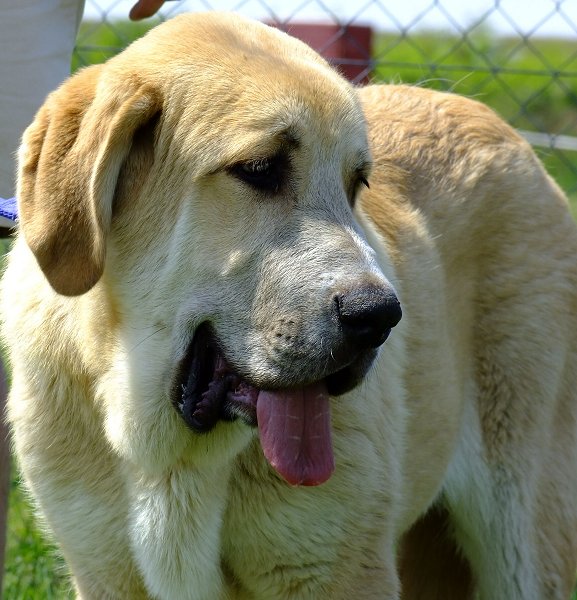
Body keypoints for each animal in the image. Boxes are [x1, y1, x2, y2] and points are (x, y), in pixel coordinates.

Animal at [1, 10, 576, 600]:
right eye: (260, 169)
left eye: (356, 184)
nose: (381, 317)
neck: (169, 461)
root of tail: (499, 125)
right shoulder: (104, 573)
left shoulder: (339, 572)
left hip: (524, 538)